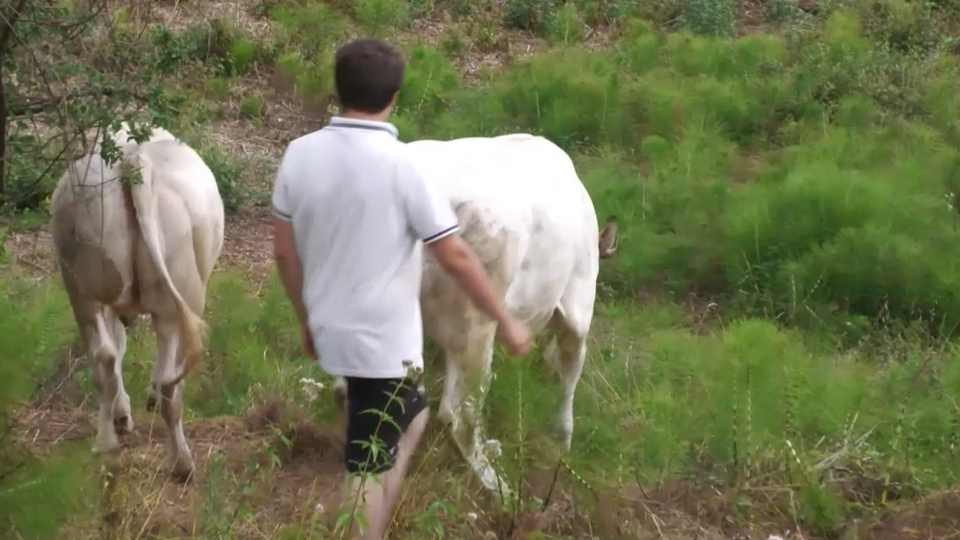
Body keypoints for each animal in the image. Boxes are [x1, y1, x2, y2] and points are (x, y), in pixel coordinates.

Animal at [51, 123, 226, 480]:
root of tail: (135, 161)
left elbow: (117, 350)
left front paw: (123, 415)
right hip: (181, 294)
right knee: (169, 382)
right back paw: (183, 463)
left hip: (84, 288)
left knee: (104, 359)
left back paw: (106, 441)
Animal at [334, 134, 620, 502]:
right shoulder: (578, 305)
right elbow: (569, 381)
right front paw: (563, 442)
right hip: (477, 323)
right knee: (458, 415)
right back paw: (501, 487)